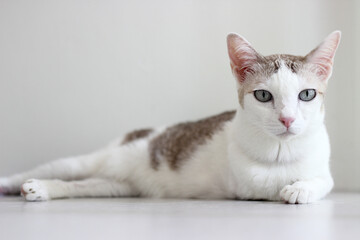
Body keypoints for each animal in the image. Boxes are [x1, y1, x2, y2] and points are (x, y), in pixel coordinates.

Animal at [0, 31, 340, 204]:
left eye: (306, 95)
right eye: (264, 96)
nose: (287, 120)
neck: (283, 150)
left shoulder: (322, 167)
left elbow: (324, 181)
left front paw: (301, 187)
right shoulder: (246, 183)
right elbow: (267, 181)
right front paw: (290, 185)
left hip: (118, 186)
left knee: (84, 185)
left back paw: (42, 189)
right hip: (89, 161)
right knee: (57, 169)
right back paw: (16, 184)